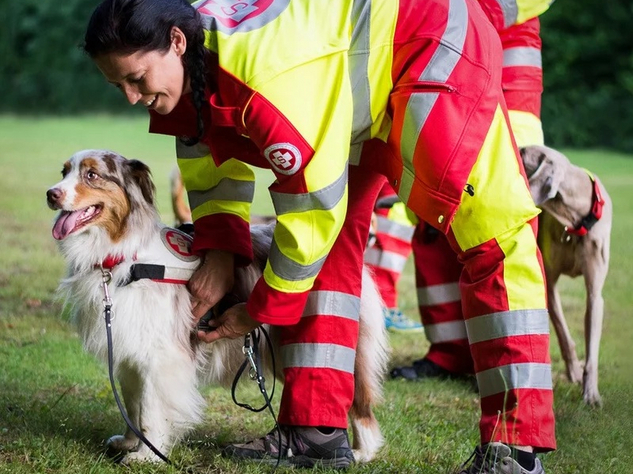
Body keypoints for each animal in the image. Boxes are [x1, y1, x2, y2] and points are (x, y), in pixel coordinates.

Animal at [44, 150, 388, 464]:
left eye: (91, 175)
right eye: (64, 171)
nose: (51, 194)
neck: (123, 255)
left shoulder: (162, 355)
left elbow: (151, 409)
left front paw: (148, 454)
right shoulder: (129, 349)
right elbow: (133, 401)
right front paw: (131, 441)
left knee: (357, 399)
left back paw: (361, 451)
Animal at [520, 145, 612, 408]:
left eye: (523, 153)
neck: (576, 220)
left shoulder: (595, 295)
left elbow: (592, 352)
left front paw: (591, 393)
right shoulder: (549, 285)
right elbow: (563, 334)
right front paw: (573, 372)